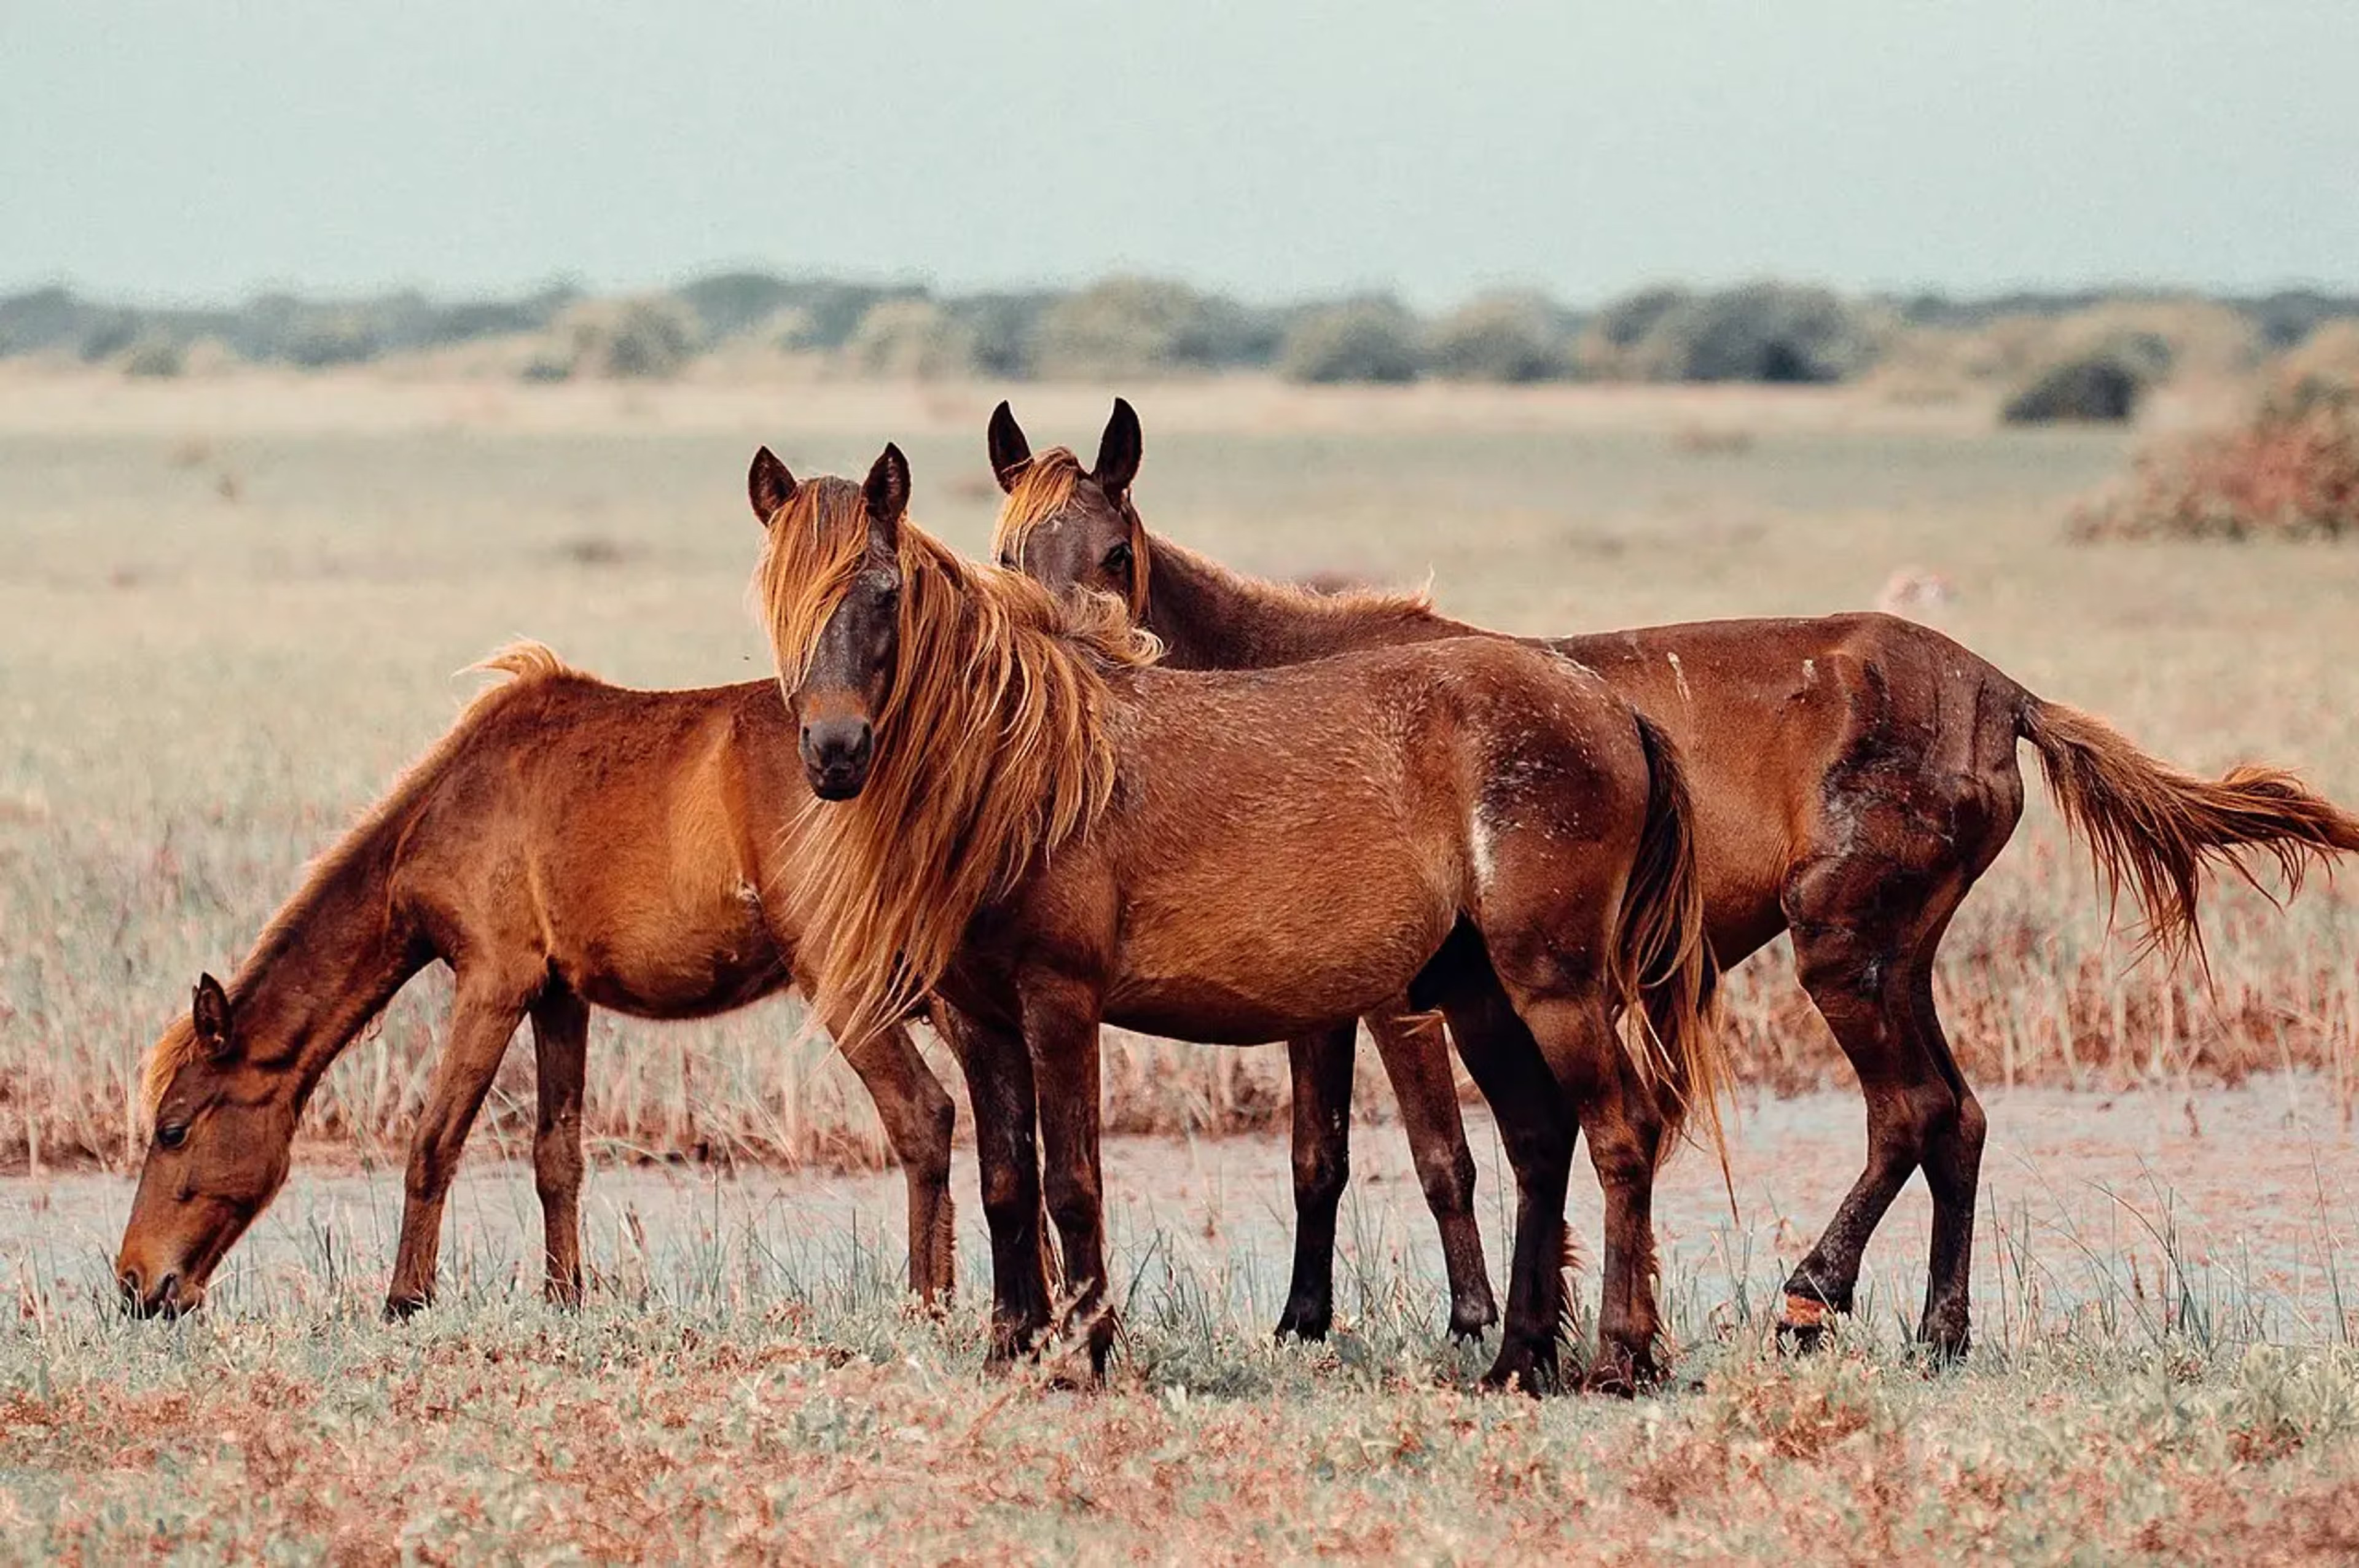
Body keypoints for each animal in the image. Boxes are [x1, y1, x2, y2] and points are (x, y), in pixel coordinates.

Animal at [115, 502, 977, 1323]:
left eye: (173, 1128)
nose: (134, 1284)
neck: (445, 805)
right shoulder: (560, 996)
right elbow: (555, 1155)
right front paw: (565, 1293)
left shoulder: (494, 982)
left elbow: (434, 1142)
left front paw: (405, 1298)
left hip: (842, 979)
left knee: (923, 1114)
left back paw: (929, 1302)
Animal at [750, 441, 1725, 1393]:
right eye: (777, 596)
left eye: (884, 592)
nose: (834, 751)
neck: (1026, 767)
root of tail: (1609, 706)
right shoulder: (981, 1017)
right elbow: (1005, 1183)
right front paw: (1011, 1346)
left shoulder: (1060, 1003)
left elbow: (1071, 1182)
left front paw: (1086, 1352)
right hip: (1479, 994)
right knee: (1538, 1140)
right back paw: (1519, 1358)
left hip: (1555, 988)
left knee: (1621, 1133)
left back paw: (1620, 1357)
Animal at [985, 396, 2359, 1360]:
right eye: (1012, 548)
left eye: (1115, 548)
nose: (1072, 648)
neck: (1284, 679)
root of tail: (1997, 687)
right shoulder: (1318, 1000)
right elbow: (1318, 1155)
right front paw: (1308, 1321)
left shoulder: (1399, 1003)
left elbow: (1439, 1157)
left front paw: (1473, 1321)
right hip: (1895, 952)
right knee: (1957, 1117)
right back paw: (1938, 1329)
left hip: (1839, 946)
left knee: (1911, 1110)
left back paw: (1811, 1295)